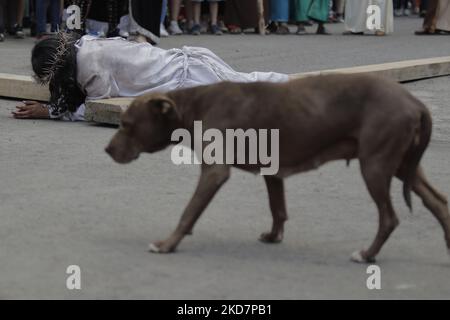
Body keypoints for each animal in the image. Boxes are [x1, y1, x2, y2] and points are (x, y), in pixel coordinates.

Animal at [105, 74, 450, 262]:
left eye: (126, 124)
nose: (107, 150)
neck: (194, 104)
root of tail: (415, 101)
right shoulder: (273, 171)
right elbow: (278, 208)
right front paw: (274, 236)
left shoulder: (215, 172)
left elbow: (188, 211)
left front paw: (167, 244)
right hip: (403, 166)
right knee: (439, 202)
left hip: (375, 166)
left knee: (389, 218)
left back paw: (367, 254)